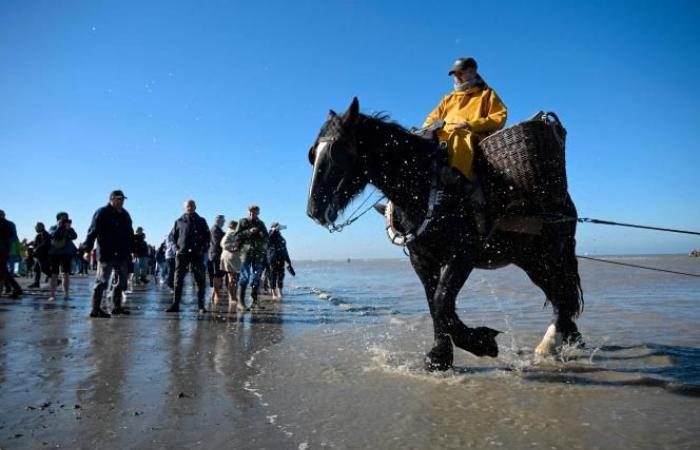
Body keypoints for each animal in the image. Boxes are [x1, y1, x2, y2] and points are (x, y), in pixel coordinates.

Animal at [306, 97, 584, 370]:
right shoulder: (421, 259)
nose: (313, 210)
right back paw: (566, 340)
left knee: (563, 293)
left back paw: (551, 343)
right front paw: (441, 355)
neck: (423, 186)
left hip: (552, 252)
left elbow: (441, 301)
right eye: (314, 154)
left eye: (339, 151)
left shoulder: (462, 254)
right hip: (531, 259)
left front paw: (479, 342)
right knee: (559, 294)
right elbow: (434, 304)